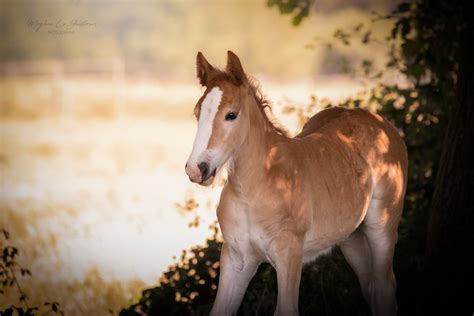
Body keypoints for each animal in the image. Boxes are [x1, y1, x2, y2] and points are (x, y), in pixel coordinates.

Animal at [185, 50, 408, 314]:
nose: (197, 169)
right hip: (352, 237)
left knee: (384, 287)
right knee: (371, 287)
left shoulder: (289, 256)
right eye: (197, 113)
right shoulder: (236, 259)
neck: (255, 187)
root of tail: (384, 125)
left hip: (381, 227)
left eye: (231, 115)